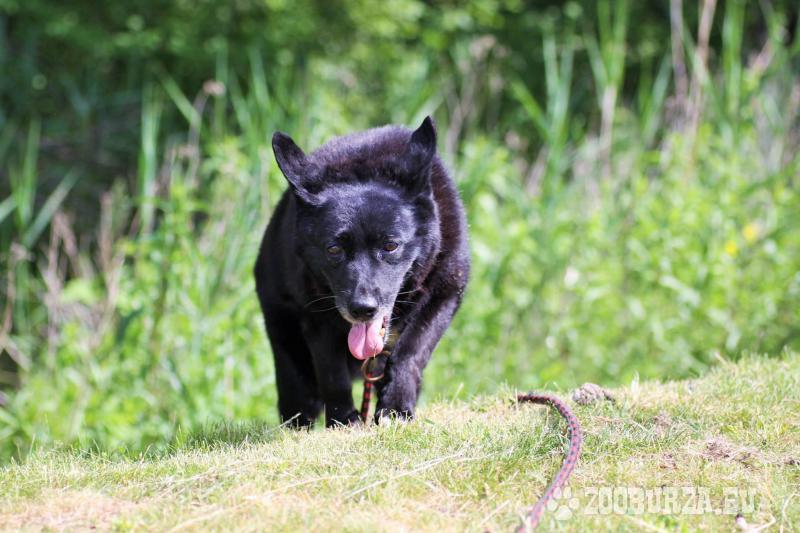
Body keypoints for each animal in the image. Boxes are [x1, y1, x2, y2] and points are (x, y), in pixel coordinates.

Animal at [254, 117, 469, 427]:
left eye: (390, 245)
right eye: (333, 249)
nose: (362, 309)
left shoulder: (445, 294)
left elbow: (410, 354)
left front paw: (396, 408)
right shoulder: (316, 318)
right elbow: (333, 374)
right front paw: (343, 420)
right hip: (287, 345)